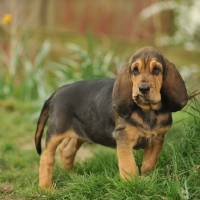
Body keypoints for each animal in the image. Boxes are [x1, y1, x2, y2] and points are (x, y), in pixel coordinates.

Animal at [35, 46, 188, 188]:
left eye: (157, 70)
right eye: (135, 71)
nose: (143, 89)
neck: (148, 111)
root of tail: (56, 92)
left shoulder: (157, 139)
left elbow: (149, 163)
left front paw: (147, 178)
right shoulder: (124, 138)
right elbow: (129, 166)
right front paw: (131, 185)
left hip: (81, 131)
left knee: (67, 150)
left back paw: (72, 177)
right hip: (56, 131)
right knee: (46, 157)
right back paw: (46, 188)